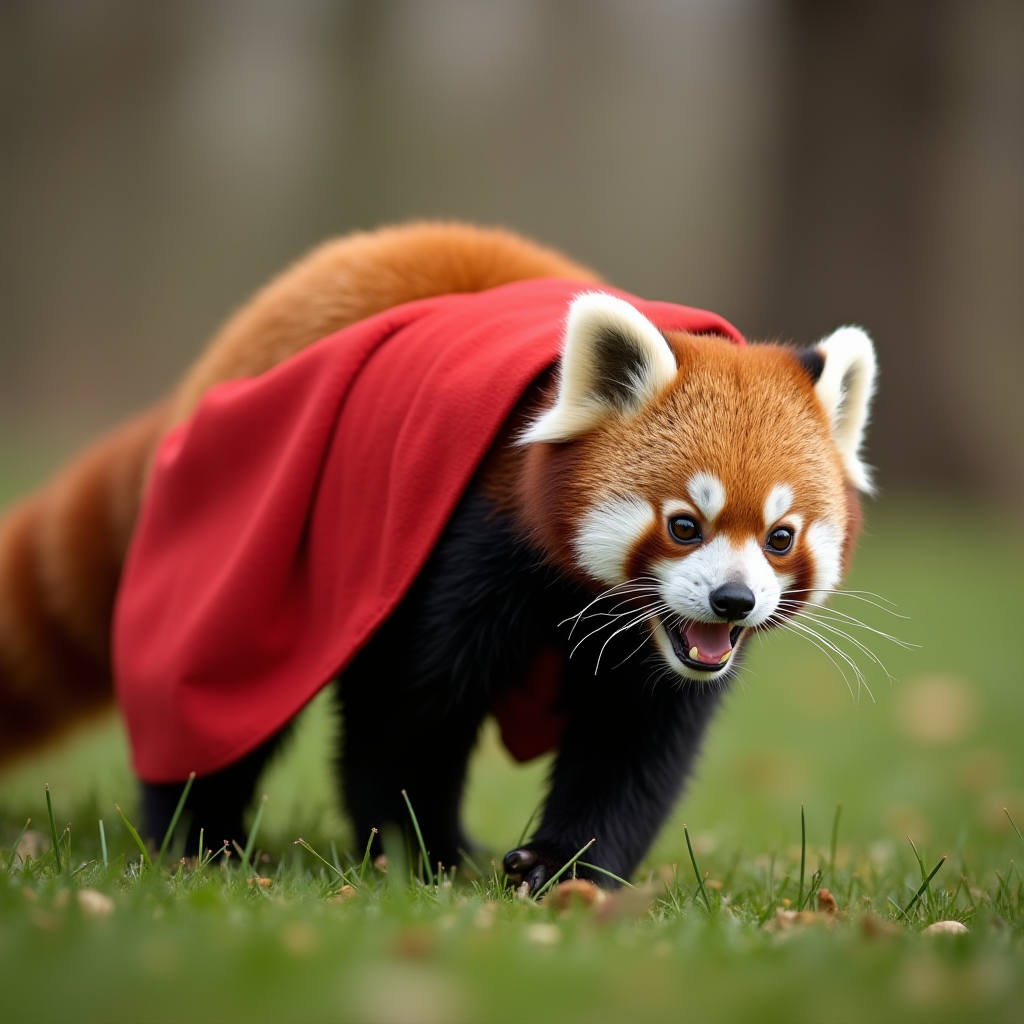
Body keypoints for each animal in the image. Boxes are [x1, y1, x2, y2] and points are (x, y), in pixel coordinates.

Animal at [2, 222, 880, 888]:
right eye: (685, 526)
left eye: (780, 538)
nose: (733, 601)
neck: (573, 594)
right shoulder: (462, 548)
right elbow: (407, 710)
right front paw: (424, 855)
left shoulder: (660, 660)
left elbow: (635, 749)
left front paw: (565, 870)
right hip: (242, 551)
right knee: (212, 699)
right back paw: (199, 839)